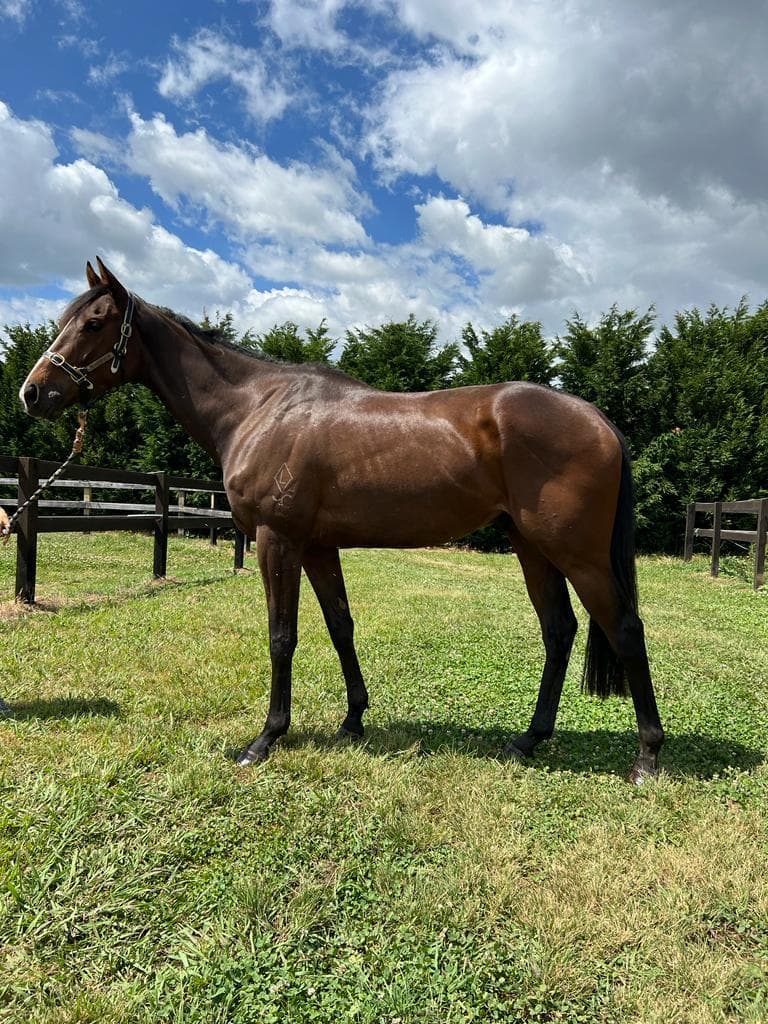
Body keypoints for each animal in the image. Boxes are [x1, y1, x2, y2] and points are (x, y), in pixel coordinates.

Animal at [19, 259, 664, 782]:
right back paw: (529, 740)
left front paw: (265, 738)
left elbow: (282, 635)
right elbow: (340, 627)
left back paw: (646, 757)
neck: (257, 408)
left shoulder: (277, 541)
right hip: (532, 546)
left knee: (625, 628)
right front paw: (353, 719)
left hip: (578, 553)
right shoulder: (317, 547)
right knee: (559, 631)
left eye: (94, 323)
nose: (32, 393)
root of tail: (598, 420)